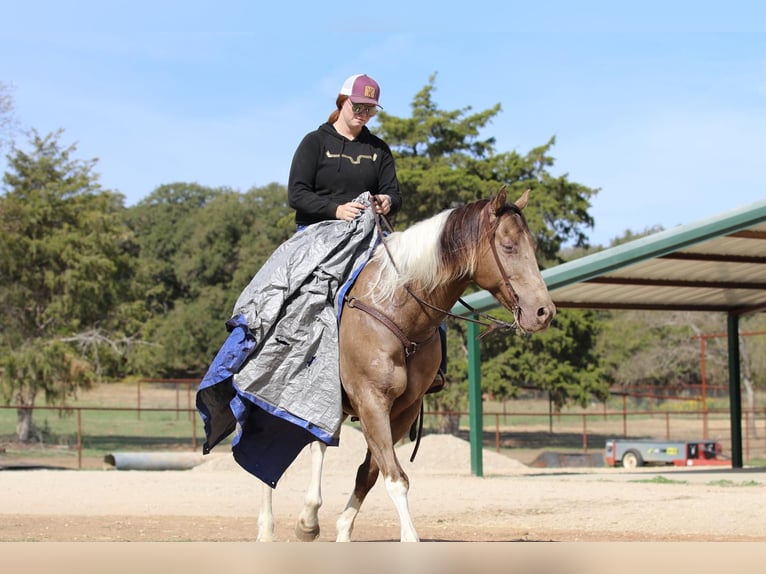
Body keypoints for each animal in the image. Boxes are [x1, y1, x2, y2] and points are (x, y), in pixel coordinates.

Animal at [258, 189, 560, 544]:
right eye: (509, 245)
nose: (544, 312)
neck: (397, 311)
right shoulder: (371, 402)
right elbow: (395, 477)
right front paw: (409, 537)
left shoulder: (403, 410)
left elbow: (370, 473)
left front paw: (343, 530)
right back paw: (266, 527)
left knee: (317, 443)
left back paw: (308, 520)